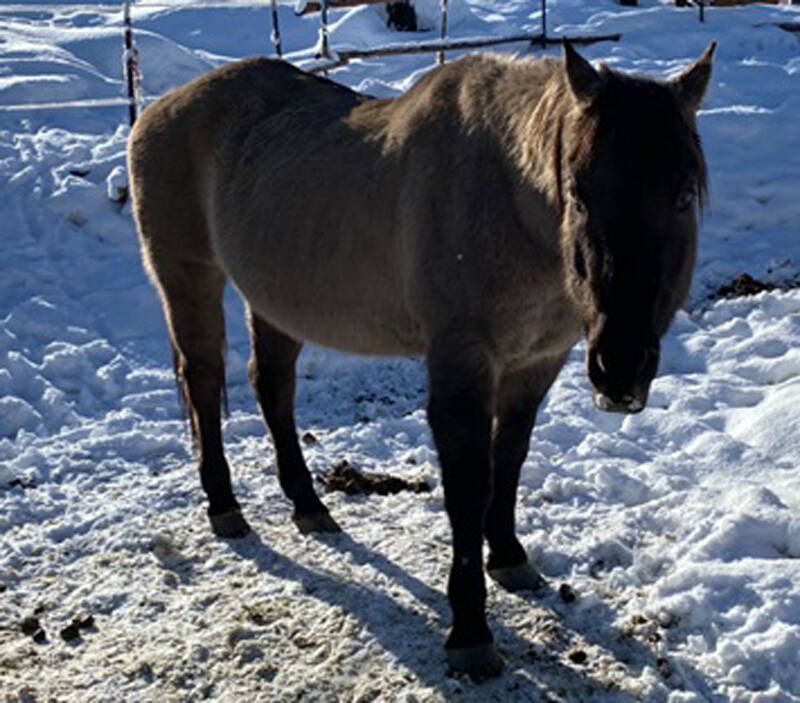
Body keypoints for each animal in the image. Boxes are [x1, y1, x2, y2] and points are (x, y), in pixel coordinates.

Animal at [127, 40, 715, 677]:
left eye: (684, 195)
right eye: (579, 193)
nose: (621, 367)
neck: (504, 200)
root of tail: (157, 110)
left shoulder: (537, 360)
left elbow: (510, 458)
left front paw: (509, 557)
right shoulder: (462, 362)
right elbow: (468, 485)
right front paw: (471, 632)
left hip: (274, 298)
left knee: (273, 387)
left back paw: (308, 505)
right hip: (188, 277)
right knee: (205, 382)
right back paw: (225, 506)